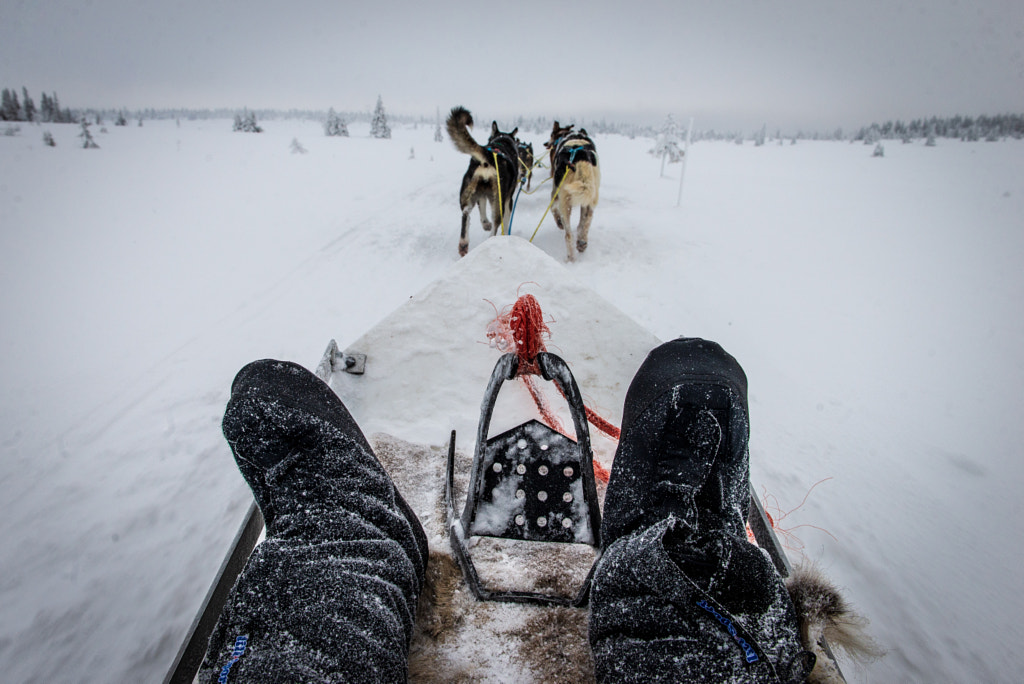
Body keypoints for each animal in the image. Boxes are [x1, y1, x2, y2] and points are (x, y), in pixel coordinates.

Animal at [444, 107, 520, 255]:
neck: (501, 141)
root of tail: (489, 156)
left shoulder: (482, 195)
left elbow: (482, 209)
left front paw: (485, 223)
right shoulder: (509, 199)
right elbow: (507, 219)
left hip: (469, 193)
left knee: (466, 214)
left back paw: (464, 243)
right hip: (498, 201)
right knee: (495, 225)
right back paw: (491, 239)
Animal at [544, 121, 598, 260]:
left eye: (551, 135)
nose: (546, 143)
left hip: (564, 198)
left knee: (569, 233)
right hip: (586, 197)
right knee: (582, 225)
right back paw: (580, 245)